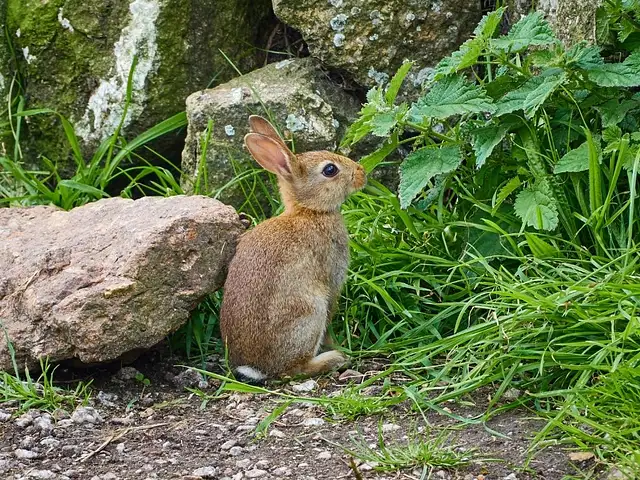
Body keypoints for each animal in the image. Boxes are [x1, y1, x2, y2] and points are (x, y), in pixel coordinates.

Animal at [220, 114, 368, 380]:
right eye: (330, 170)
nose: (362, 172)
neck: (309, 211)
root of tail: (256, 368)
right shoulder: (332, 280)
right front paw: (337, 344)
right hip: (309, 311)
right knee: (294, 369)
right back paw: (334, 359)